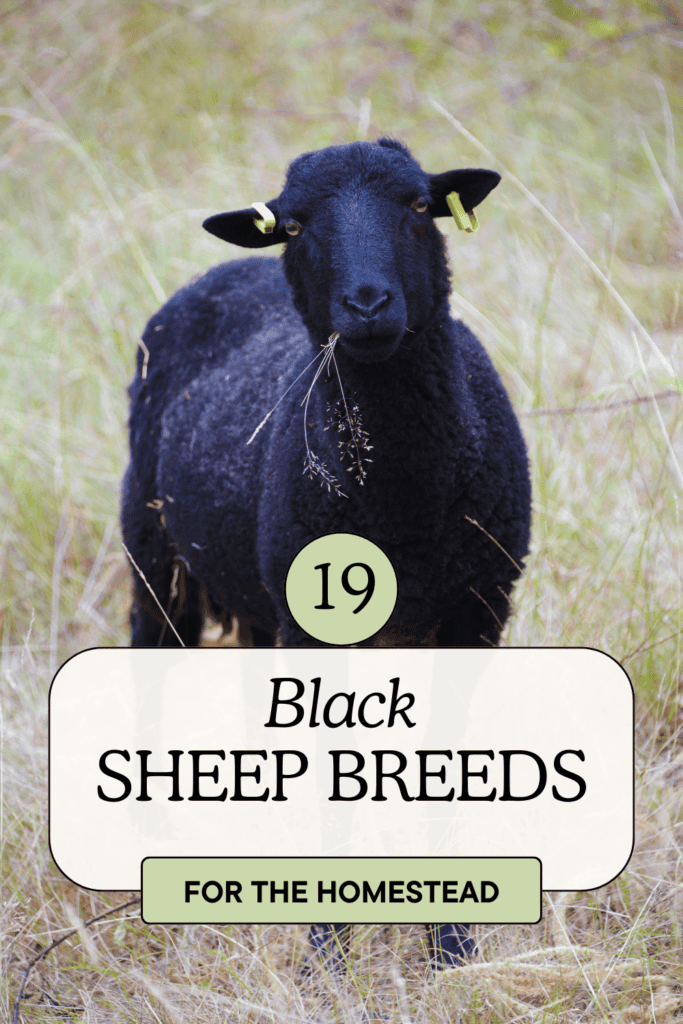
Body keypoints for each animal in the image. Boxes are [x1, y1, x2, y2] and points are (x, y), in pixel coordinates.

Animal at [121, 137, 532, 970]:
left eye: (418, 205)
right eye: (294, 225)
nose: (368, 305)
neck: (405, 503)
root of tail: (226, 270)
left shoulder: (475, 612)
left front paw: (451, 948)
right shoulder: (315, 629)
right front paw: (324, 959)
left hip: (256, 588)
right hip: (154, 548)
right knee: (152, 657)